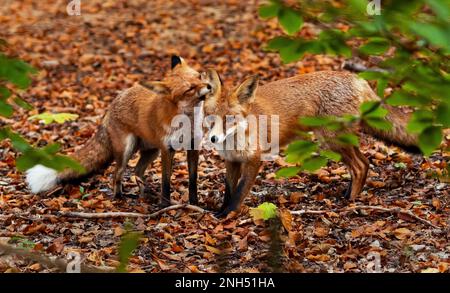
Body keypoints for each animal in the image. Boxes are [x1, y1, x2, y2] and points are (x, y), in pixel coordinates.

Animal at [26, 56, 211, 205]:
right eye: (189, 89)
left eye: (199, 76)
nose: (209, 86)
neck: (188, 122)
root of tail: (111, 107)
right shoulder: (168, 149)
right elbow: (166, 182)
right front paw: (165, 206)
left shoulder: (193, 147)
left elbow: (193, 180)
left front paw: (195, 204)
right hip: (127, 151)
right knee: (117, 174)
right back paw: (119, 198)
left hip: (152, 151)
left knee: (137, 171)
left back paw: (144, 195)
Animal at [202, 69, 420, 217]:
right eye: (211, 117)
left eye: (229, 119)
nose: (213, 139)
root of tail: (356, 78)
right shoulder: (232, 161)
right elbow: (228, 191)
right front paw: (221, 210)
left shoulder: (253, 160)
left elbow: (238, 193)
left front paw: (227, 214)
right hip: (338, 142)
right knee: (365, 163)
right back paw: (348, 194)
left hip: (332, 141)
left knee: (359, 166)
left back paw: (350, 202)